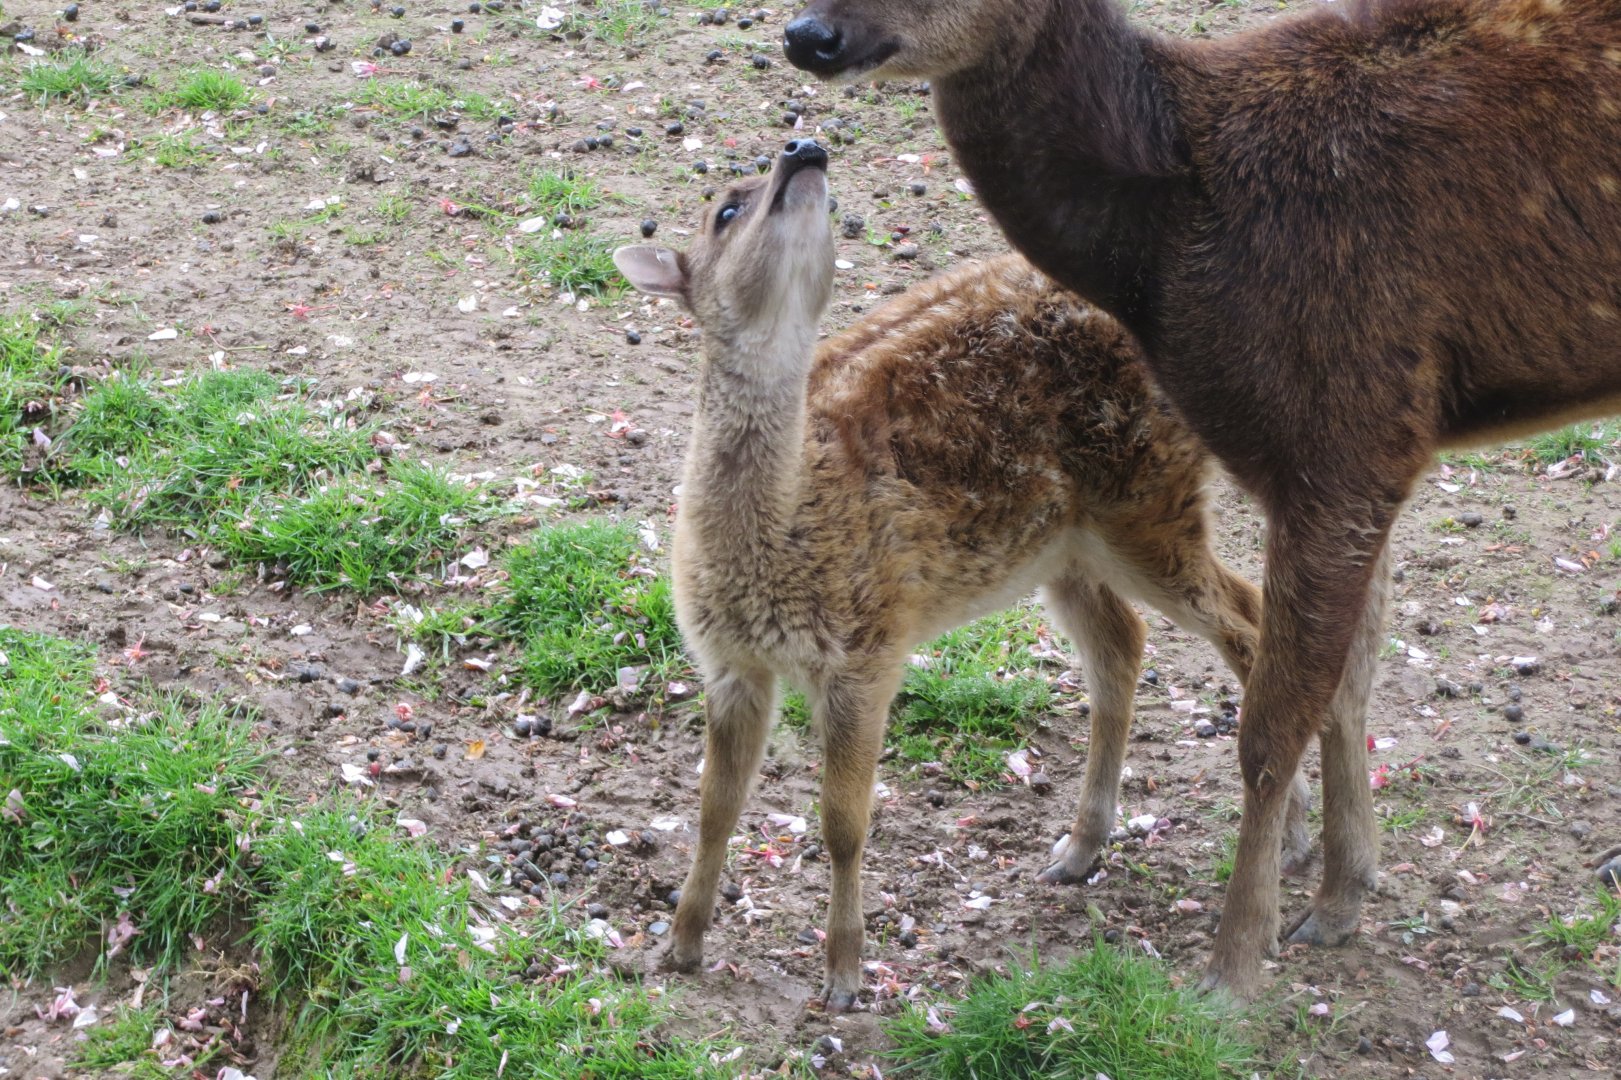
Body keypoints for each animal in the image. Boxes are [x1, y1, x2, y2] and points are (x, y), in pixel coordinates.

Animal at [612, 139, 1294, 1011]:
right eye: (726, 210)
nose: (804, 148)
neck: (788, 522)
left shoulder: (868, 645)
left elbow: (842, 823)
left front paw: (843, 976)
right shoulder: (728, 661)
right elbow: (712, 808)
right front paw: (680, 945)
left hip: (1147, 501)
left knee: (1246, 618)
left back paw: (1293, 851)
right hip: (1064, 543)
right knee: (1125, 641)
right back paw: (1081, 849)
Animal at [781, 0, 1621, 999]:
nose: (807, 36)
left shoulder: (1347, 420)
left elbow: (1270, 722)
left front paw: (1233, 964)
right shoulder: (1356, 453)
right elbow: (1349, 676)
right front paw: (1343, 895)